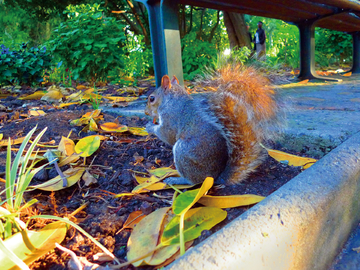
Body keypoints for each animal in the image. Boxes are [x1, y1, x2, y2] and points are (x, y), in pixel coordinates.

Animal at [145, 65, 282, 186]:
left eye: (152, 98)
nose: (146, 112)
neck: (172, 100)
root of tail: (215, 177)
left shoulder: (171, 118)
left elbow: (167, 135)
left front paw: (149, 127)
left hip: (183, 151)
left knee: (194, 181)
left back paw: (177, 180)